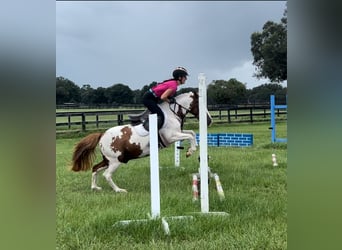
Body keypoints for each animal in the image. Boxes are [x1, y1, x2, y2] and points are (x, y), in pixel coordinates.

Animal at [71, 91, 212, 192]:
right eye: (200, 105)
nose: (209, 120)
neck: (171, 114)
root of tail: (102, 135)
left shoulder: (178, 133)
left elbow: (192, 133)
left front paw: (191, 150)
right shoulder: (171, 137)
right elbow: (190, 136)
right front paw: (190, 151)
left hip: (108, 160)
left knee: (95, 168)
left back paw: (95, 187)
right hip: (115, 161)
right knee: (107, 175)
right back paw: (119, 190)